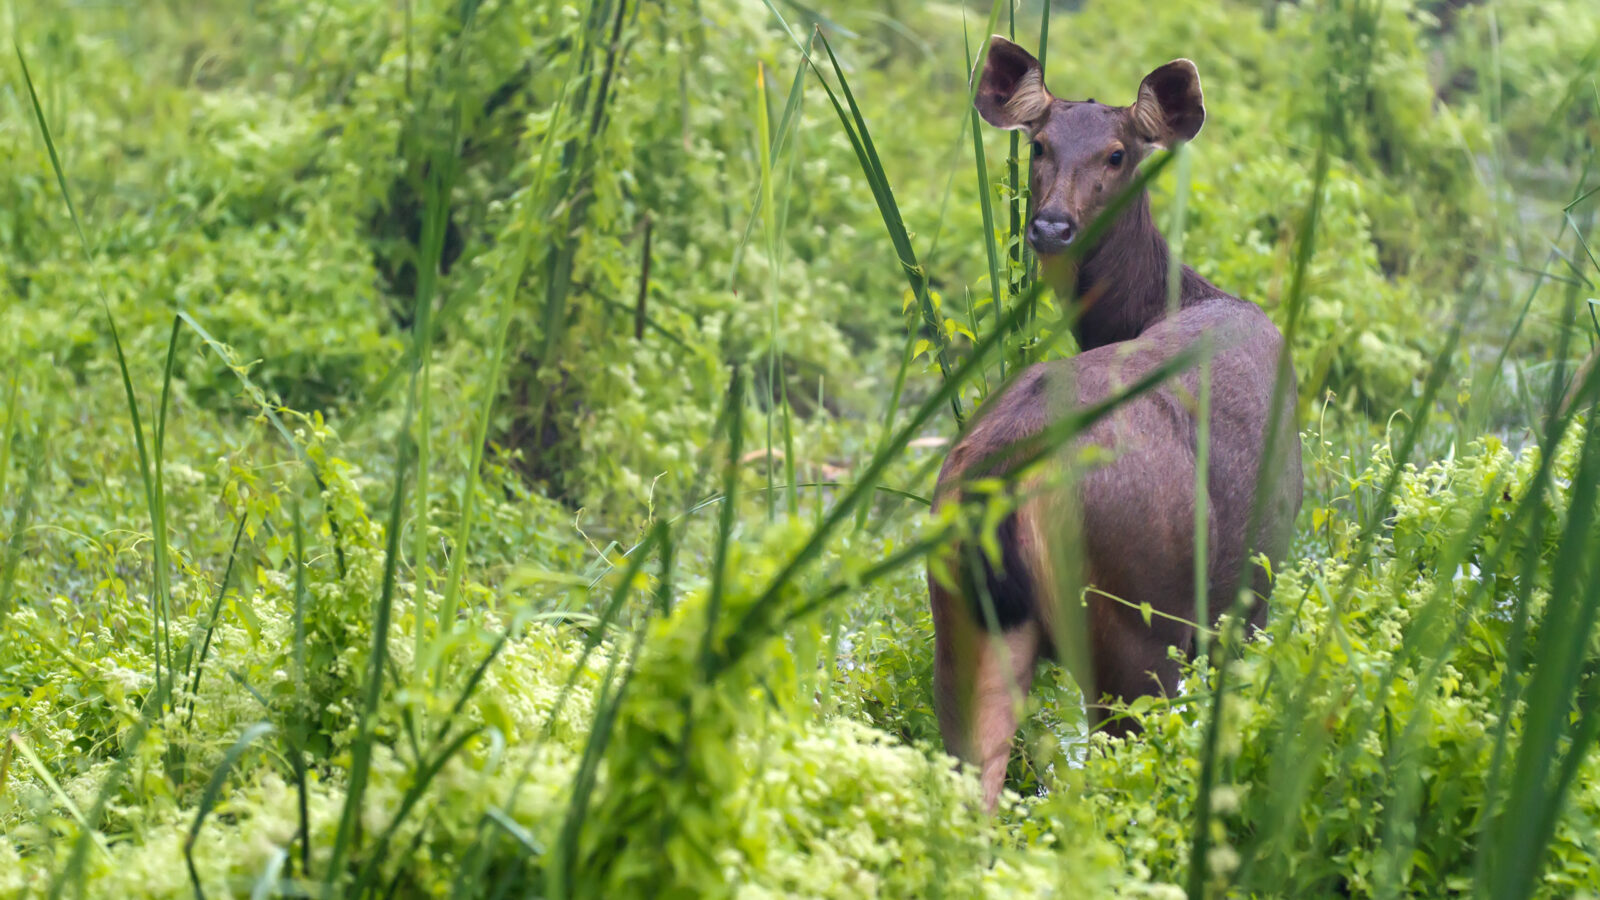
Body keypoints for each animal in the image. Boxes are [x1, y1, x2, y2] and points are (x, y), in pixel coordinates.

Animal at [929, 37, 1304, 810]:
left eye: (1115, 154)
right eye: (1039, 145)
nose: (1050, 225)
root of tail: (1003, 480)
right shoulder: (1253, 585)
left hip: (965, 621)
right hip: (1135, 625)